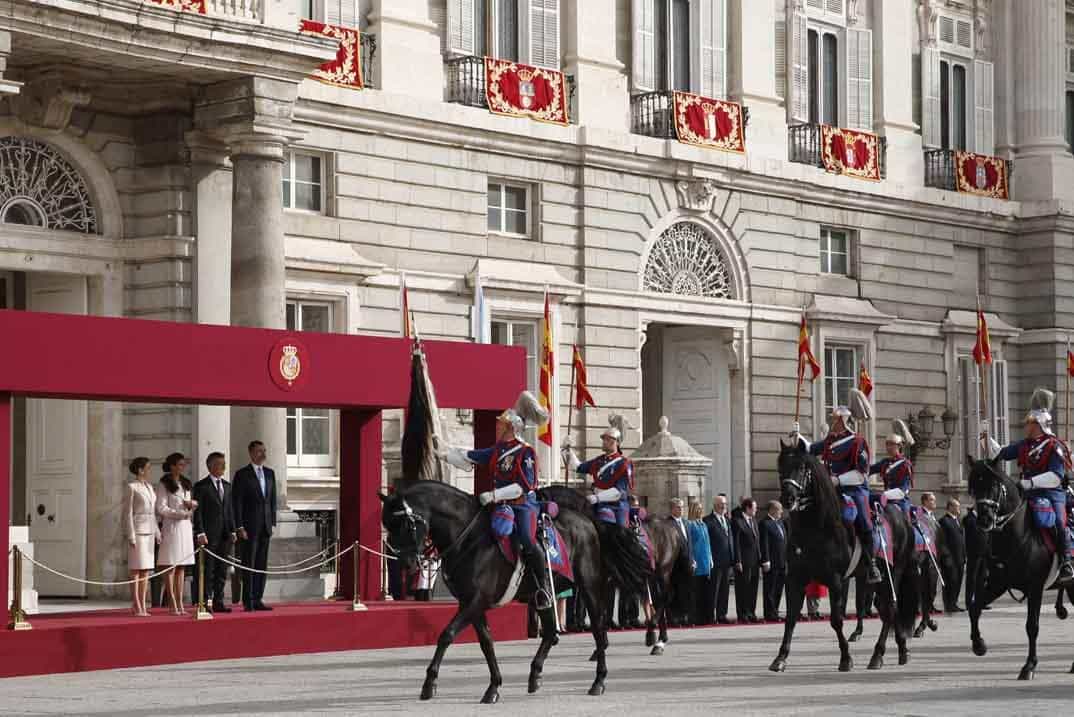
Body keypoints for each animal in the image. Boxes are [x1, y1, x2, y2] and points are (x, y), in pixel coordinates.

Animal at [382, 478, 648, 704]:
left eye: (406, 524)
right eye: (388, 525)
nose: (405, 563)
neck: (467, 538)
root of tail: (588, 520)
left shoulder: (475, 601)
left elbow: (447, 634)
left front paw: (429, 682)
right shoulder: (471, 603)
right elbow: (486, 643)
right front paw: (493, 686)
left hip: (590, 586)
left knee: (599, 630)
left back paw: (598, 681)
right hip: (543, 595)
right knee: (551, 632)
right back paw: (535, 675)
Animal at [537, 485, 695, 656]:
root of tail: (671, 525)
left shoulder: (596, 580)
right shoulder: (599, 582)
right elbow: (601, 611)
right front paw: (601, 645)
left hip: (662, 571)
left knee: (665, 596)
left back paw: (654, 636)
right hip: (652, 575)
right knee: (660, 599)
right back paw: (659, 639)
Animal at [768, 442, 919, 674]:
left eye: (802, 468)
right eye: (780, 467)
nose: (788, 499)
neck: (815, 528)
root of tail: (902, 516)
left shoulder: (836, 581)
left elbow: (836, 620)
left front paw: (846, 658)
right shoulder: (795, 579)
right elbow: (791, 618)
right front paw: (780, 658)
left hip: (894, 572)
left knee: (891, 608)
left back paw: (878, 654)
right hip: (874, 580)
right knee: (886, 609)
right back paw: (900, 649)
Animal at [966, 457, 1074, 682]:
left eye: (994, 485)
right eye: (973, 487)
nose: (984, 520)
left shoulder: (1035, 588)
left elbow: (1032, 626)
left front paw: (1029, 666)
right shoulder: (997, 583)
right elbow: (974, 607)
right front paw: (979, 645)